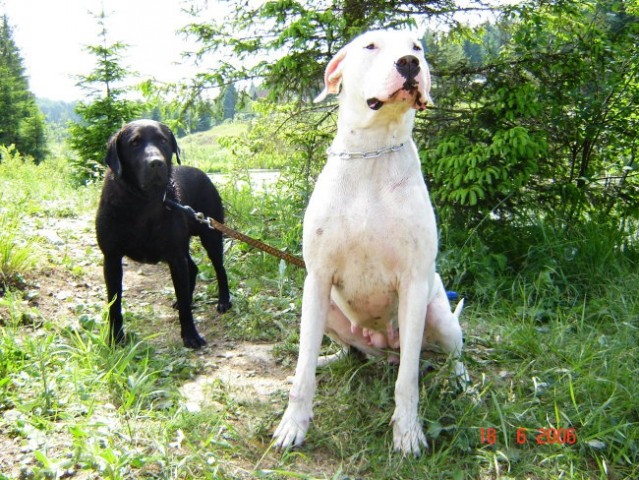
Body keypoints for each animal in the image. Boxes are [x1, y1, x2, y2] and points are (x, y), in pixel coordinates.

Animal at [96, 118, 231, 346]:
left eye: (163, 140)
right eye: (134, 143)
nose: (156, 163)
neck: (142, 202)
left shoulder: (175, 257)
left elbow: (185, 305)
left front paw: (191, 336)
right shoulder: (111, 258)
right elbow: (114, 304)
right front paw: (115, 338)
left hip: (211, 235)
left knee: (219, 269)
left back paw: (224, 301)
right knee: (193, 268)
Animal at [272, 28, 470, 456]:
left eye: (417, 47)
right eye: (370, 46)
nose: (409, 64)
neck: (373, 152)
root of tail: (384, 351)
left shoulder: (412, 285)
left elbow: (407, 382)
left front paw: (408, 433)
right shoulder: (317, 279)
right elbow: (301, 373)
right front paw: (293, 424)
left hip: (438, 315)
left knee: (453, 354)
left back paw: (460, 382)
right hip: (328, 310)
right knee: (348, 352)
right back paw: (332, 359)